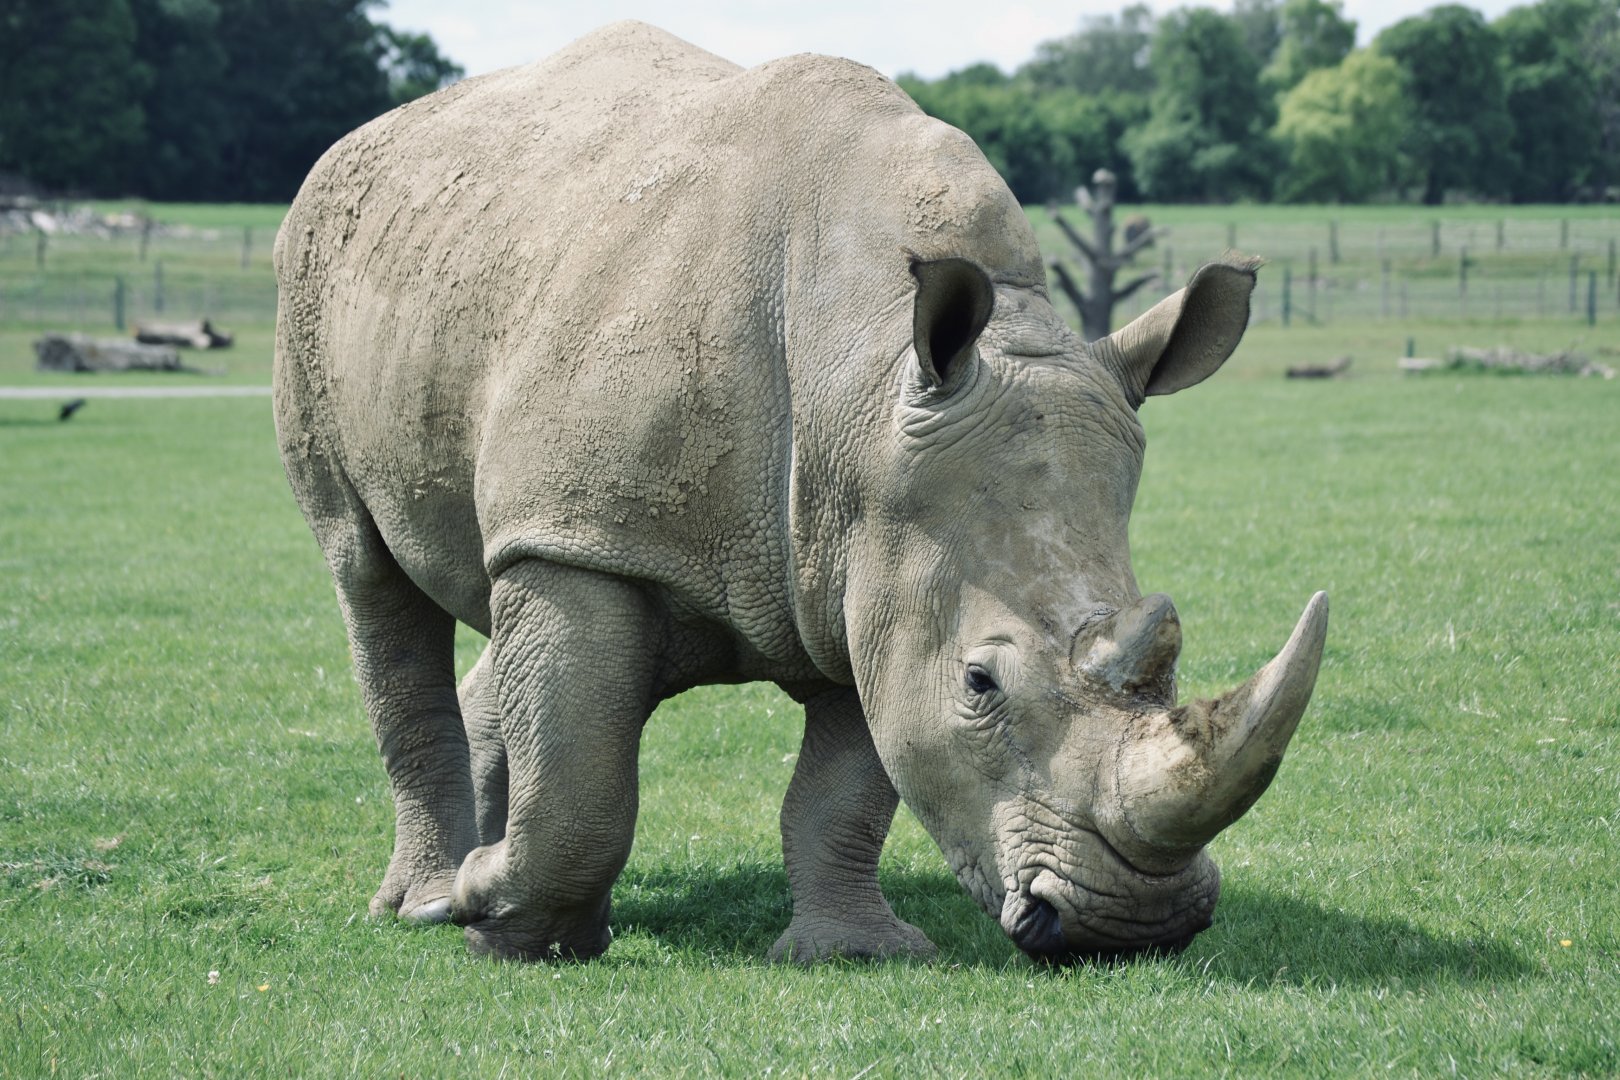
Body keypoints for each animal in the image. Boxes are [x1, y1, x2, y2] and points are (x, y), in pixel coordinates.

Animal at [273, 21, 1328, 964]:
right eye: (980, 685)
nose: (1134, 926)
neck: (861, 380)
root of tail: (369, 138)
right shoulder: (586, 534)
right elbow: (582, 780)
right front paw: (508, 928)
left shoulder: (873, 557)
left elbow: (843, 792)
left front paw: (855, 952)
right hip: (319, 278)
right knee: (369, 577)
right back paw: (422, 902)